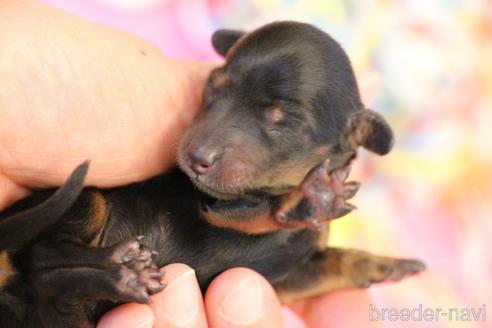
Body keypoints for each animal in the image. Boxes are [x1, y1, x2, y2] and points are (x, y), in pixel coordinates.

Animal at [0, 21, 422, 326]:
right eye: (212, 90)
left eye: (282, 121)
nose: (194, 157)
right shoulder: (211, 205)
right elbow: (258, 212)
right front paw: (305, 200)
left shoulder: (288, 277)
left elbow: (332, 262)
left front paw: (386, 265)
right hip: (85, 199)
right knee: (44, 257)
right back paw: (120, 270)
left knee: (51, 284)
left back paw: (121, 278)